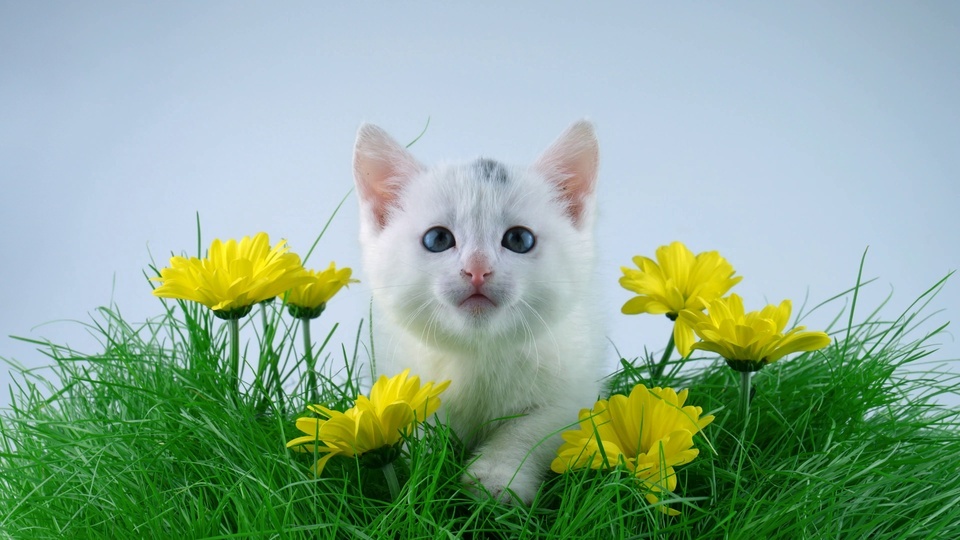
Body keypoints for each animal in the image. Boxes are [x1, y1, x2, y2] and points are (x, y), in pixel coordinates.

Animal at [352, 120, 608, 504]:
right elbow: (420, 427)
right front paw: (429, 471)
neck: (479, 350)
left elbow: (529, 432)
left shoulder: (572, 392)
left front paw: (495, 479)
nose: (477, 269)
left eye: (519, 239)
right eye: (438, 239)